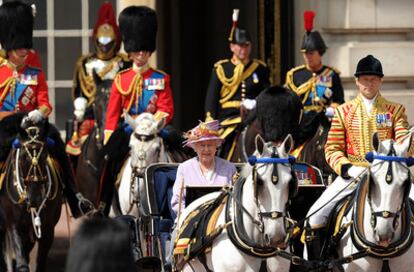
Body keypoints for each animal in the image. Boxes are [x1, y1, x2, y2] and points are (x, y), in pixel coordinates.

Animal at [0, 115, 62, 272]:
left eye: (45, 154)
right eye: (22, 156)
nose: (35, 199)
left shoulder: (47, 229)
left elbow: (39, 263)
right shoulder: (14, 226)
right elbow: (22, 263)